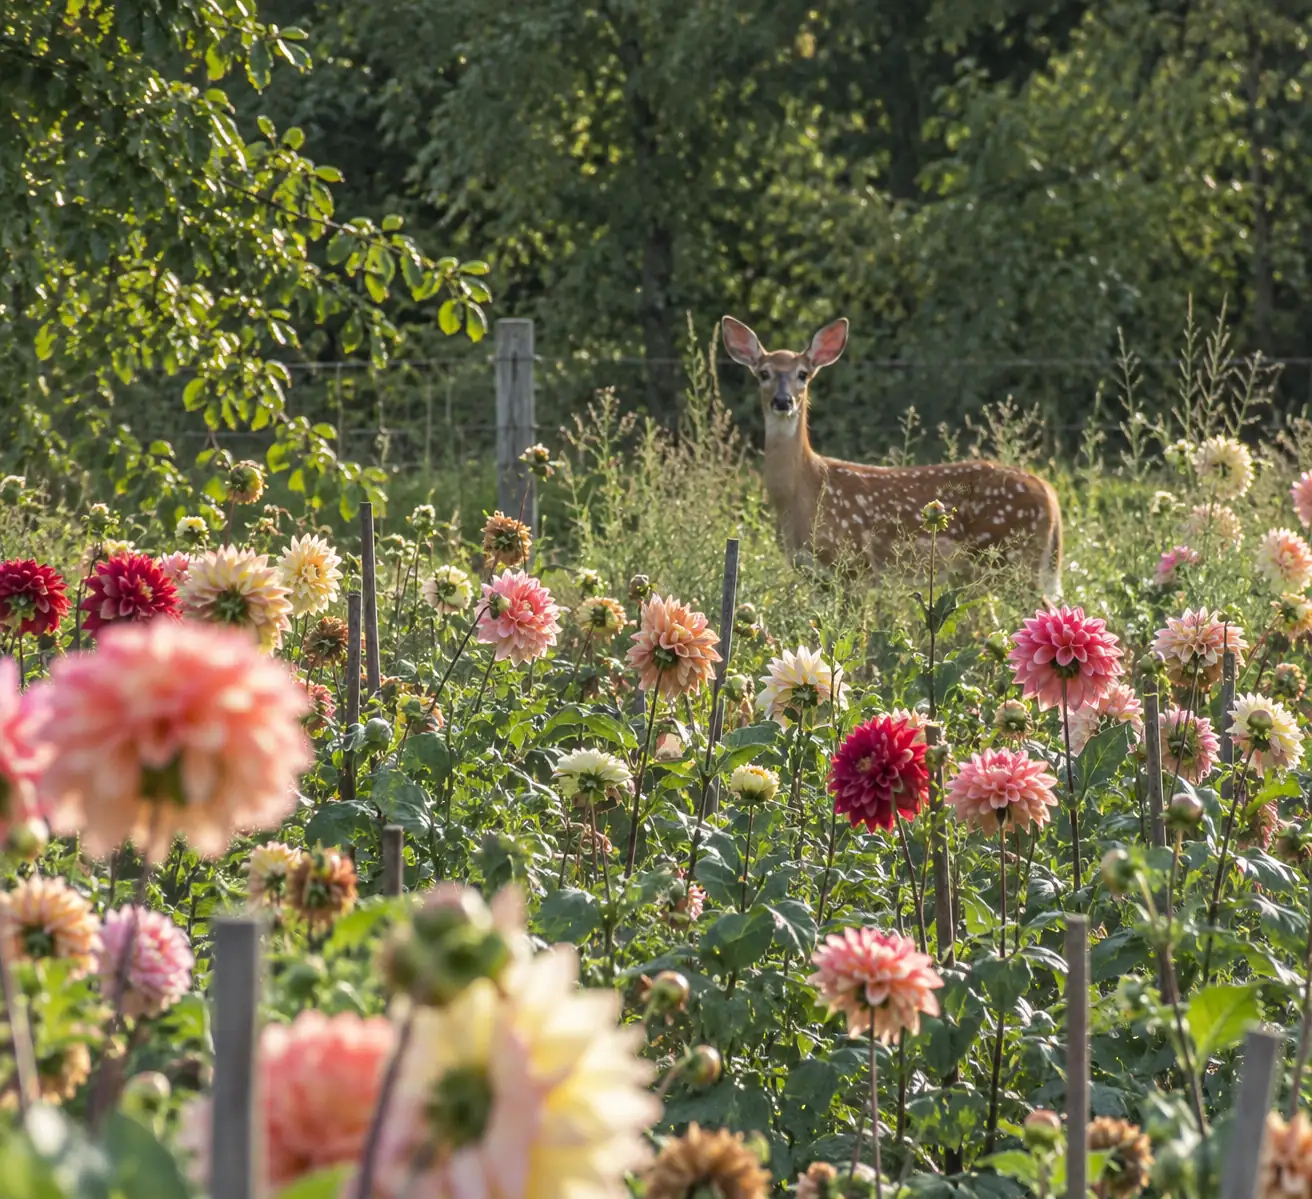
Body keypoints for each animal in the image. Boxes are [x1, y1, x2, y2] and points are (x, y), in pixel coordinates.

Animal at [721, 315, 1063, 597]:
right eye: (763, 373)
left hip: (1011, 559)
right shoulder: (816, 577)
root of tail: (1050, 493)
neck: (804, 492)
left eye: (803, 374)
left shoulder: (856, 566)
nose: (783, 400)